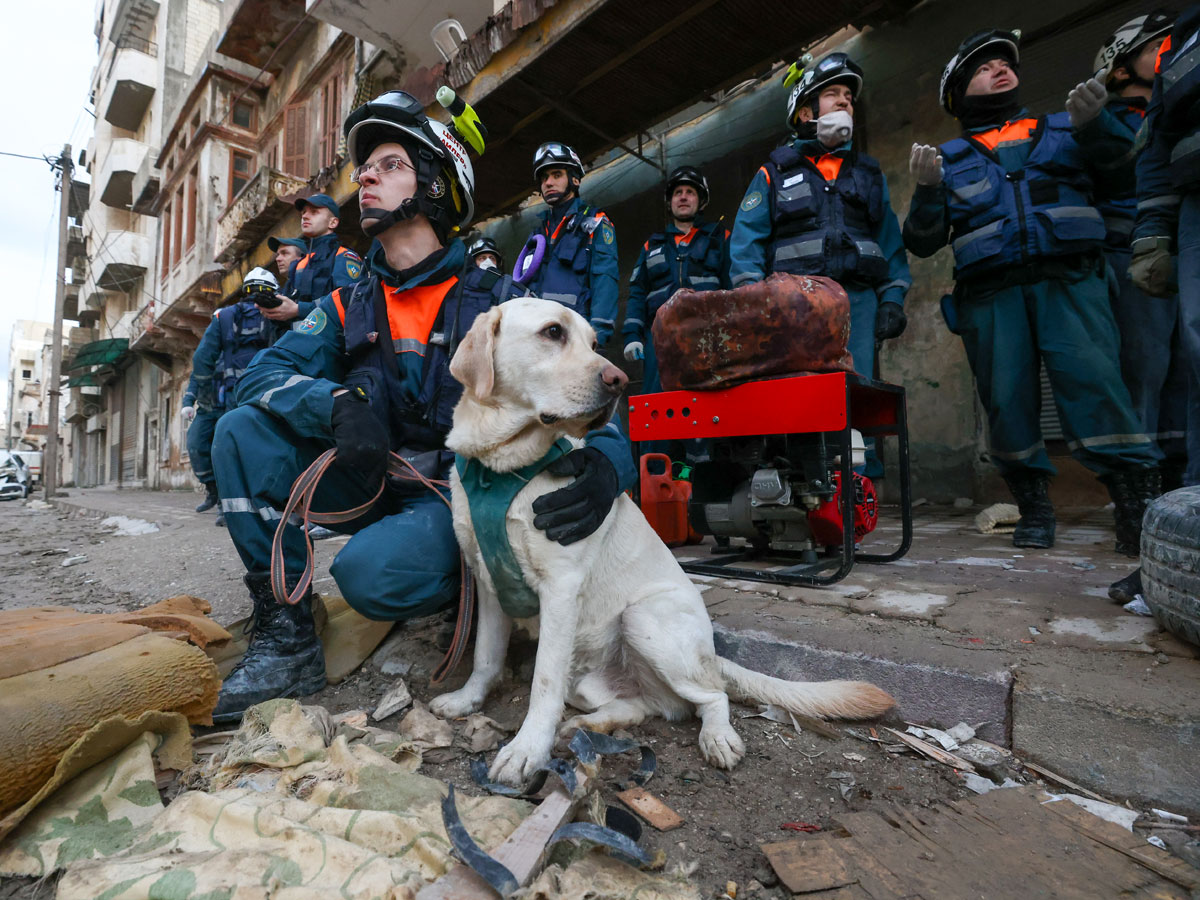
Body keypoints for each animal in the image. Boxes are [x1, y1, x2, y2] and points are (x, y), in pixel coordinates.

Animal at [432, 300, 892, 787]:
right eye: (553, 332)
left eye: (594, 342)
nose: (618, 380)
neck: (500, 463)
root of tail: (710, 654)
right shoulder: (488, 582)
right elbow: (484, 656)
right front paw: (466, 700)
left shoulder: (560, 587)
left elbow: (543, 683)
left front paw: (527, 749)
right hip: (593, 677)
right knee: (647, 706)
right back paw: (586, 725)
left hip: (643, 618)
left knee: (710, 696)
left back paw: (717, 737)